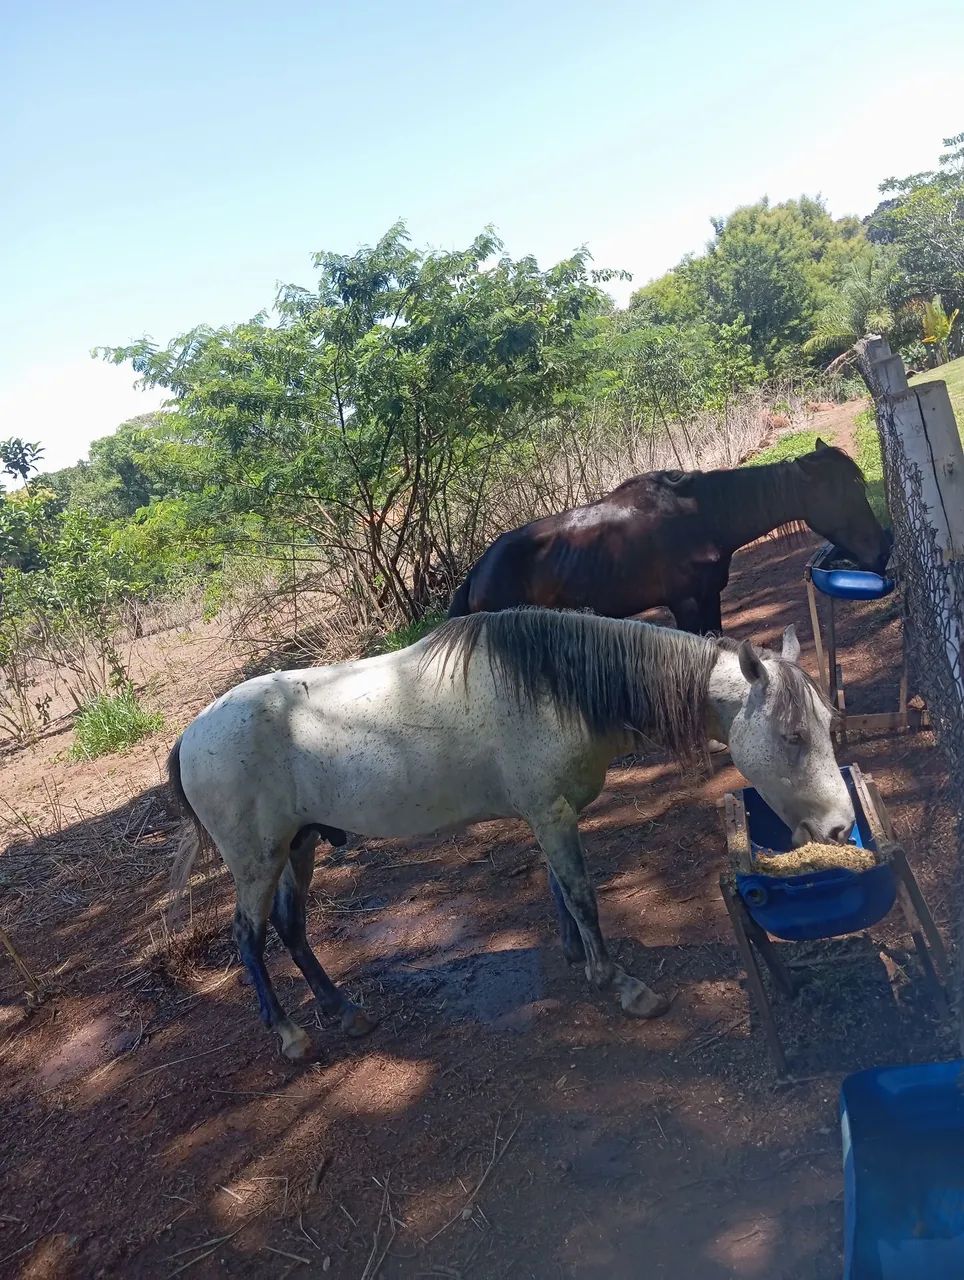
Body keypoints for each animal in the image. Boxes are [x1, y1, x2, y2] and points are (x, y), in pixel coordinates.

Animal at [168, 608, 852, 1060]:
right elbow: (580, 893)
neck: (559, 685)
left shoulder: (549, 813)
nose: (839, 826)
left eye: (826, 722)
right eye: (792, 734)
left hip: (299, 846)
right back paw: (289, 1033)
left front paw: (579, 957)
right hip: (257, 861)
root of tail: (191, 736)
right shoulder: (551, 813)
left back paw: (344, 1011)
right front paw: (620, 983)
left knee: (290, 927)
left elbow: (559, 891)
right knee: (248, 936)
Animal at [447, 440, 891, 634]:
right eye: (844, 492)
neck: (701, 516)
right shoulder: (685, 603)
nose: (881, 552)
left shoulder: (709, 596)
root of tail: (476, 575)